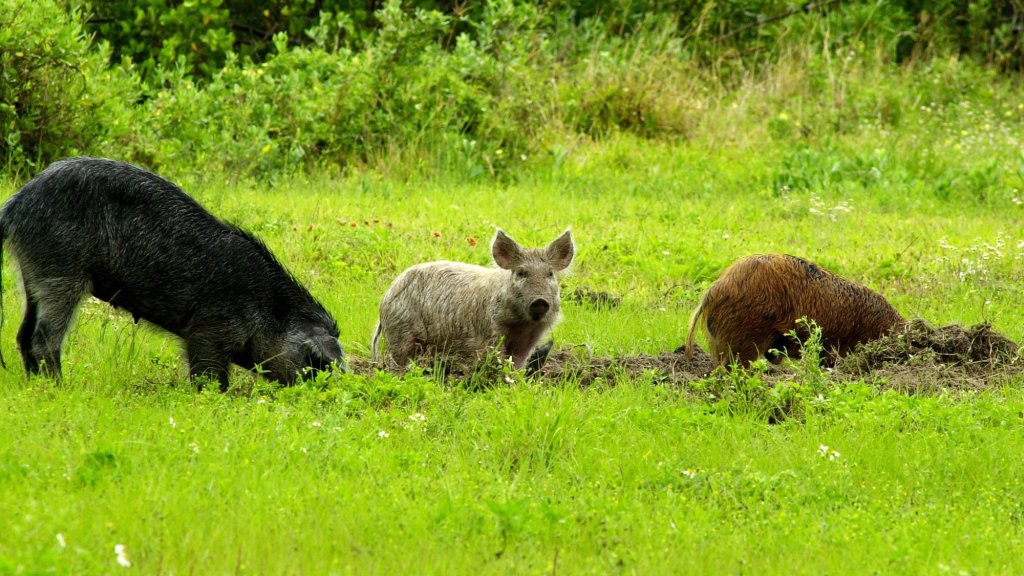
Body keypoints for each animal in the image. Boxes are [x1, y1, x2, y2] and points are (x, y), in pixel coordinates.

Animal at [0, 157, 345, 390]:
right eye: (314, 362)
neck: (269, 308)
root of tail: (14, 204)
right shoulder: (208, 329)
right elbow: (208, 373)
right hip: (60, 272)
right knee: (43, 336)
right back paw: (60, 388)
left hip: (31, 273)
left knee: (23, 334)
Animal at [372, 228, 574, 372]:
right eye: (521, 273)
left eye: (550, 274)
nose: (540, 301)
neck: (522, 325)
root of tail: (386, 297)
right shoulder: (490, 330)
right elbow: (495, 356)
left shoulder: (530, 338)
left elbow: (518, 362)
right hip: (400, 329)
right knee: (398, 360)